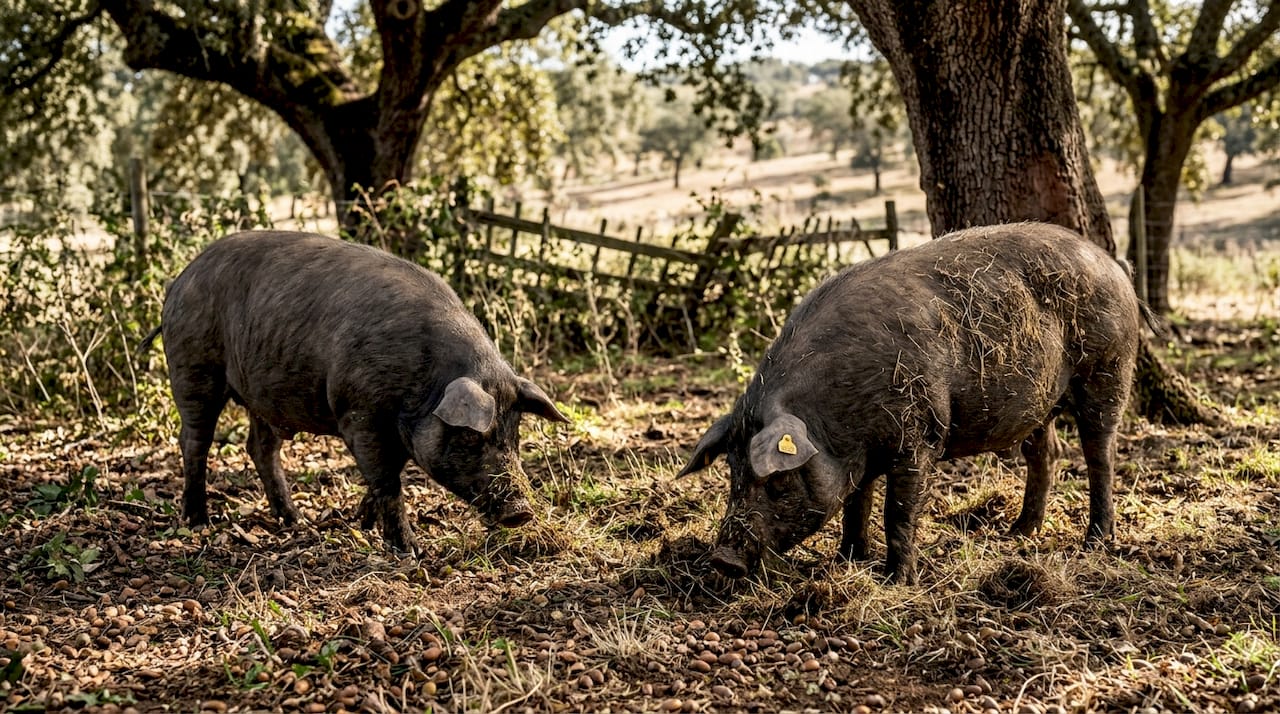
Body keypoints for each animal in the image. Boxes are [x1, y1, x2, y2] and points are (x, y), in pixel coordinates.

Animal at [144, 230, 568, 554]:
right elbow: (387, 479)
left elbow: (387, 475)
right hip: (193, 366)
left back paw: (294, 521)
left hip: (260, 393)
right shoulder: (358, 412)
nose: (521, 511)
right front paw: (411, 550)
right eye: (471, 437)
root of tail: (178, 281)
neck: (424, 381)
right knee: (194, 440)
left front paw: (363, 524)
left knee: (260, 447)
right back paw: (199, 521)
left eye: (513, 434)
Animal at [678, 223, 1141, 584]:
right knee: (1046, 454)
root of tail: (1114, 265)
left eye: (777, 481)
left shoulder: (919, 437)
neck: (835, 420)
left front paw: (896, 580)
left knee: (1100, 452)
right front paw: (847, 559)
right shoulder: (859, 455)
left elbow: (896, 509)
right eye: (733, 474)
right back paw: (1019, 532)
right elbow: (856, 502)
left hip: (1108, 367)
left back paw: (1096, 539)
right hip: (1039, 404)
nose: (724, 559)